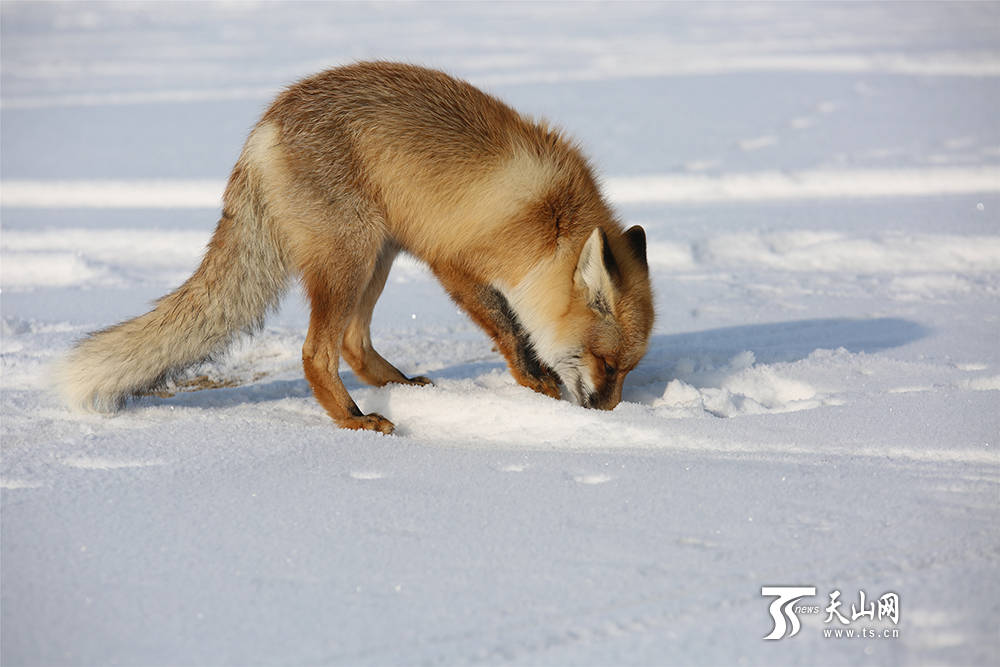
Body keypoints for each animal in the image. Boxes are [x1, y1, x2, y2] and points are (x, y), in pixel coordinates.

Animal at [62, 62, 656, 434]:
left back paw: (405, 388)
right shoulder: (455, 263)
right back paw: (353, 419)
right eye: (605, 363)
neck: (549, 221)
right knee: (317, 352)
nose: (609, 414)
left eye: (628, 369)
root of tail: (266, 125)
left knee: (353, 342)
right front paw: (537, 387)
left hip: (378, 255)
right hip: (350, 258)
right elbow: (511, 331)